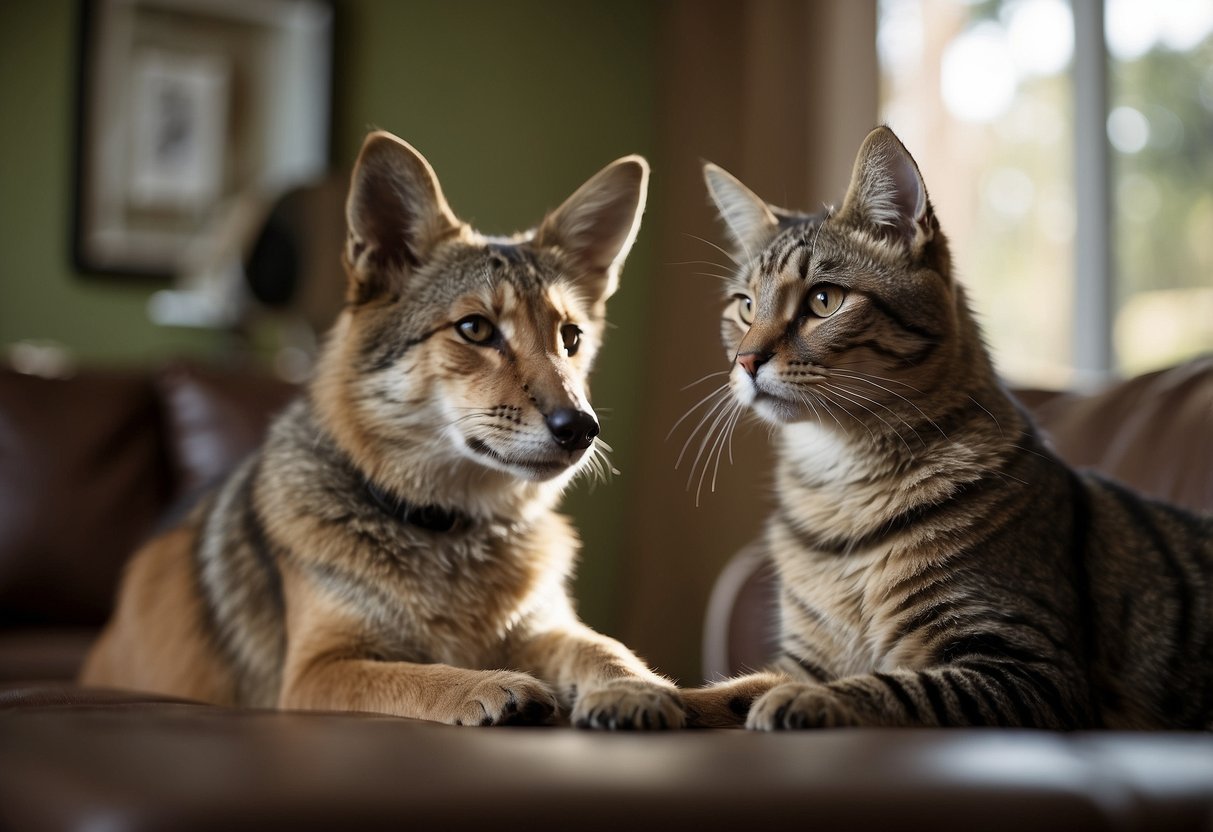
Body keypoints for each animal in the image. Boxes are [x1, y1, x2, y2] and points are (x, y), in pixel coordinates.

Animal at [684, 127, 1213, 732]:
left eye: (824, 300)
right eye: (745, 307)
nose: (746, 361)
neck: (840, 483)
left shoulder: (1030, 667)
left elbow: (895, 686)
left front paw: (810, 700)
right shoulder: (803, 658)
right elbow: (728, 689)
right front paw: (647, 696)